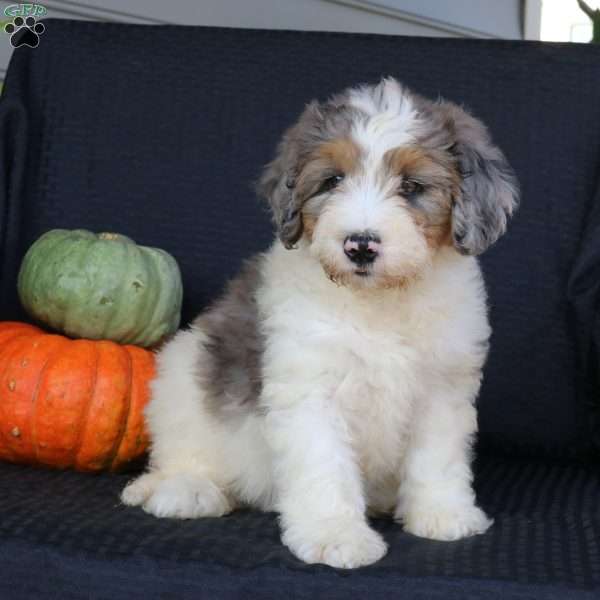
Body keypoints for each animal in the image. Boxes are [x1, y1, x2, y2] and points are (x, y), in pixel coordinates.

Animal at [120, 77, 516, 568]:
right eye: (333, 180)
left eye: (411, 187)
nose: (360, 245)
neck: (379, 302)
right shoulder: (310, 388)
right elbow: (325, 467)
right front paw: (335, 536)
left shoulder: (443, 386)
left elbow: (436, 458)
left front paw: (443, 514)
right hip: (183, 372)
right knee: (183, 447)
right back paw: (186, 489)